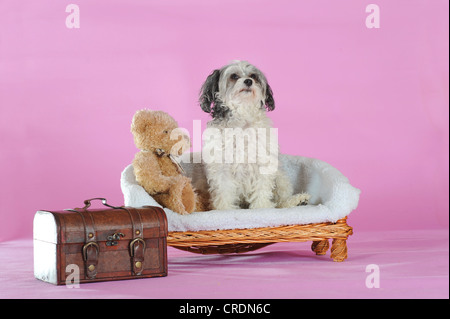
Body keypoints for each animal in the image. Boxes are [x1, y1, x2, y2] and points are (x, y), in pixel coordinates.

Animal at [200, 61, 310, 211]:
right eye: (234, 76)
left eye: (253, 76)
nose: (248, 81)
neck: (242, 120)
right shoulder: (221, 168)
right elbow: (224, 192)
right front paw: (225, 210)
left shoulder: (263, 162)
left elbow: (261, 190)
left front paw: (261, 208)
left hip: (280, 179)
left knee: (281, 202)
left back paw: (298, 201)